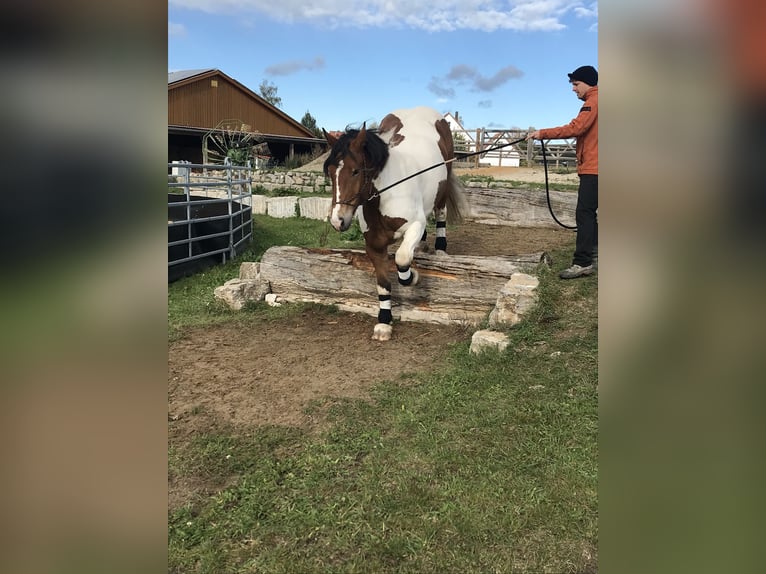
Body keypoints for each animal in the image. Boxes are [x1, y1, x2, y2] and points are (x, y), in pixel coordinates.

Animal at [322, 107, 468, 342]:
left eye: (355, 171)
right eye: (330, 171)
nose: (338, 220)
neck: (385, 193)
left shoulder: (415, 224)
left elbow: (401, 259)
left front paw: (414, 277)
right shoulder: (374, 244)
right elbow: (383, 284)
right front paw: (384, 322)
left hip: (443, 188)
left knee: (440, 213)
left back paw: (440, 250)